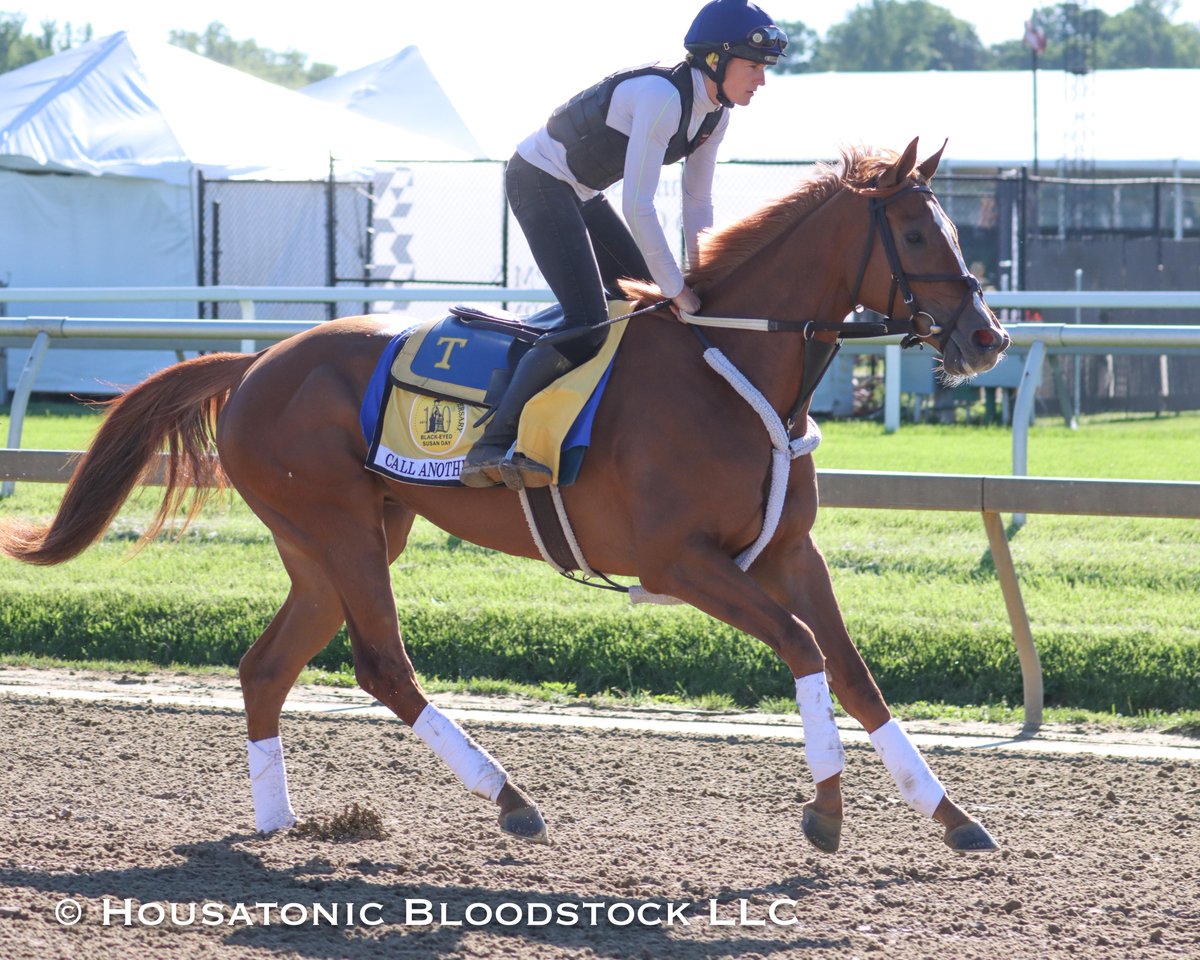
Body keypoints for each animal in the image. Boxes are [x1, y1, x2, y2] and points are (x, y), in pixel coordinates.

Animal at [0, 136, 1012, 854]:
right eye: (917, 233)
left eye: (957, 229)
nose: (986, 336)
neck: (730, 366)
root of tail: (253, 364)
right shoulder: (679, 562)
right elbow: (803, 649)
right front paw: (827, 810)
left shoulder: (787, 552)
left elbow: (854, 671)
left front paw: (954, 816)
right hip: (337, 527)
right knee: (383, 667)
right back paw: (512, 800)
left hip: (333, 540)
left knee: (266, 666)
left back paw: (278, 820)